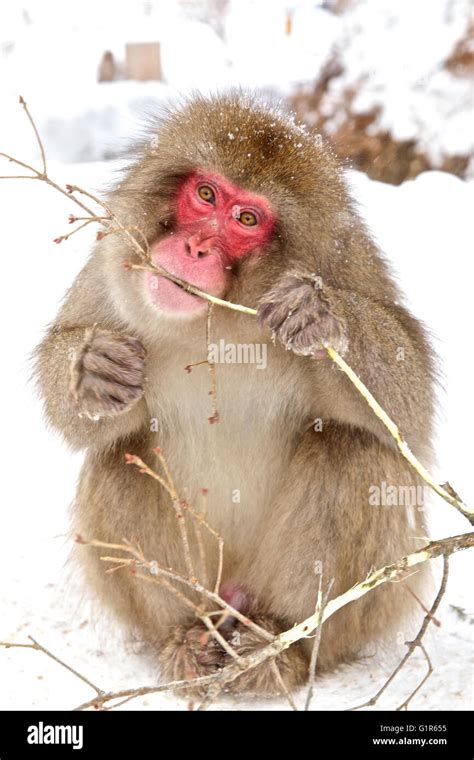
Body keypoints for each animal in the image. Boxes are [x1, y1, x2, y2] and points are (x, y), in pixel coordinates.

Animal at [34, 93, 436, 696]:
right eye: (206, 195)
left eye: (247, 219)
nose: (196, 246)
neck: (217, 320)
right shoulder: (113, 266)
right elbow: (78, 405)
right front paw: (91, 370)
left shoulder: (345, 263)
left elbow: (409, 411)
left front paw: (321, 315)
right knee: (118, 459)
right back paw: (186, 637)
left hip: (368, 605)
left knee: (356, 453)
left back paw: (278, 645)